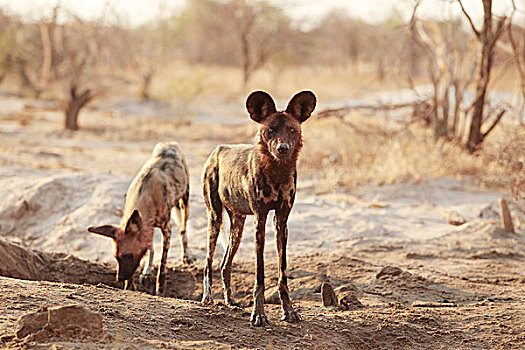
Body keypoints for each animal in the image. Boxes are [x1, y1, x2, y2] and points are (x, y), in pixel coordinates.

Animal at [87, 142, 190, 296]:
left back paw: (186, 257)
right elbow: (148, 250)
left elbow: (163, 264)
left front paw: (160, 288)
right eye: (116, 257)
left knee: (183, 231)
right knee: (151, 246)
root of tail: (169, 143)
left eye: (128, 256)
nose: (119, 278)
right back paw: (146, 271)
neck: (146, 196)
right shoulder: (147, 225)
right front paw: (130, 285)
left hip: (184, 204)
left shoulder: (167, 229)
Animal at [201, 89, 316, 326]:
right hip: (214, 219)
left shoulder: (281, 221)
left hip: (237, 225)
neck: (277, 173)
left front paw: (289, 311)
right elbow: (259, 275)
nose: (282, 148)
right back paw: (207, 298)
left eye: (292, 130)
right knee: (208, 262)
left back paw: (230, 301)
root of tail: (218, 149)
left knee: (225, 265)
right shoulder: (260, 220)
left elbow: (282, 275)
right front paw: (259, 314)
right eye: (270, 130)